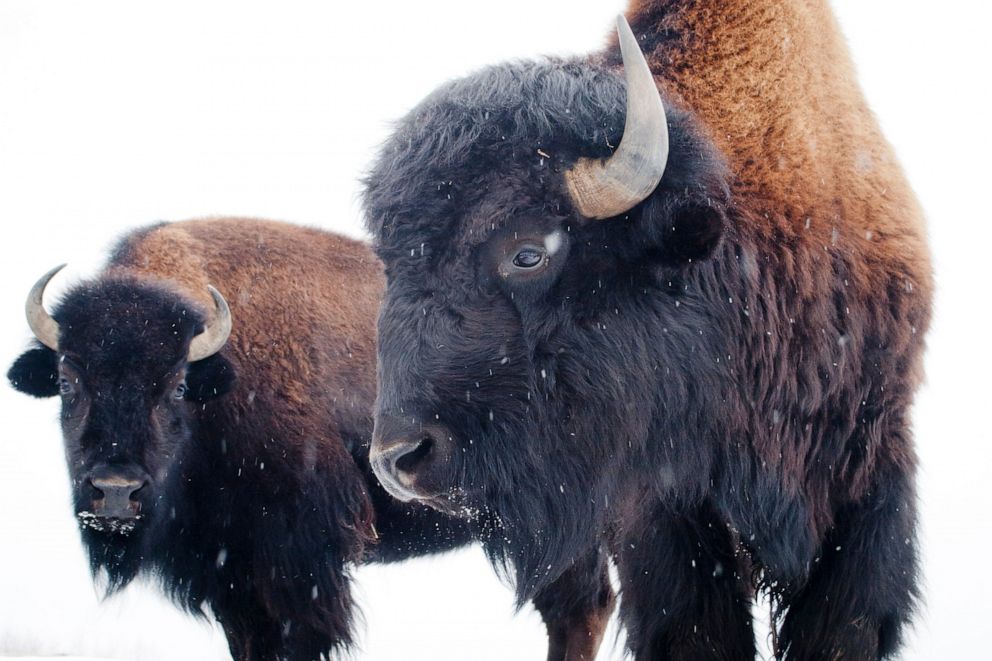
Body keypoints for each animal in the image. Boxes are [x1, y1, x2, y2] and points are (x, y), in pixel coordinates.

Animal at [5, 218, 612, 660]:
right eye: (67, 380)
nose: (114, 491)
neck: (222, 378)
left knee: (578, 608)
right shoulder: (231, 579)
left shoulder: (301, 565)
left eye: (175, 385)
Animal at [362, 5, 928, 660]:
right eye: (390, 265)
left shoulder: (872, 474)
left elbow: (843, 624)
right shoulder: (661, 510)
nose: (397, 459)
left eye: (527, 253)